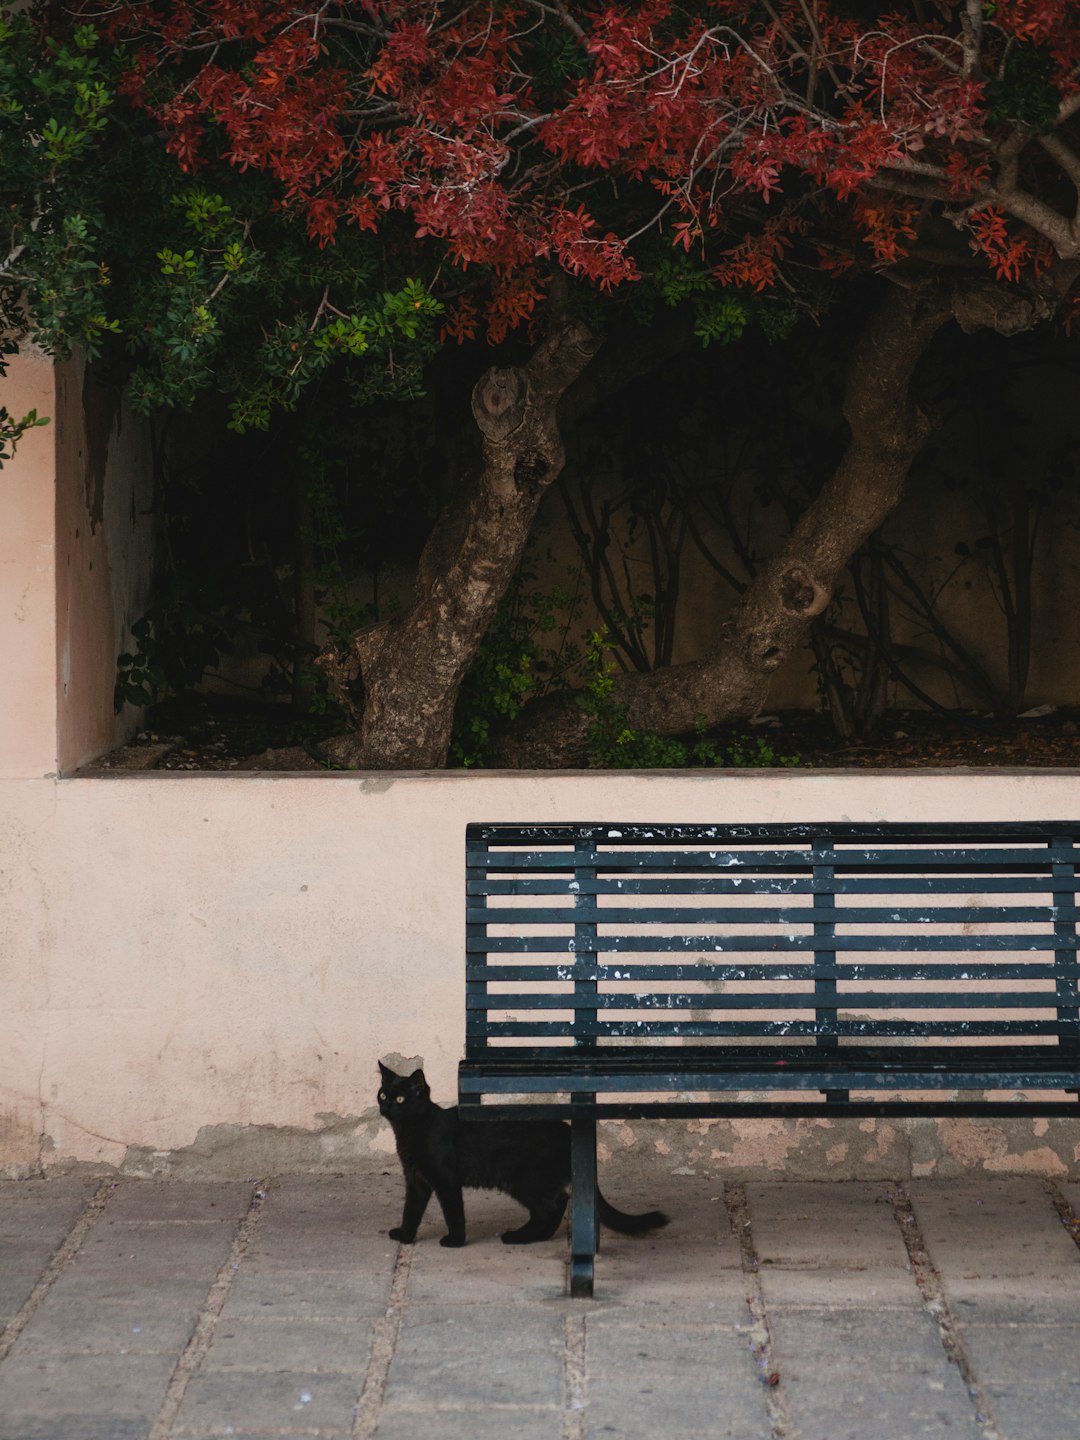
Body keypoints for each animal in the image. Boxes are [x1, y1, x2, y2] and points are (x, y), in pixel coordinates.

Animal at [377, 1059, 668, 1249]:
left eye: (401, 1099)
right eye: (382, 1094)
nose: (387, 1106)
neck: (411, 1130)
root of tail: (567, 1129)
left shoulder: (445, 1180)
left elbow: (453, 1212)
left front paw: (455, 1241)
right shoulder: (416, 1180)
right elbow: (411, 1210)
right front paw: (405, 1236)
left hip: (522, 1180)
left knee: (546, 1208)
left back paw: (519, 1237)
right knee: (558, 1200)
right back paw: (539, 1236)